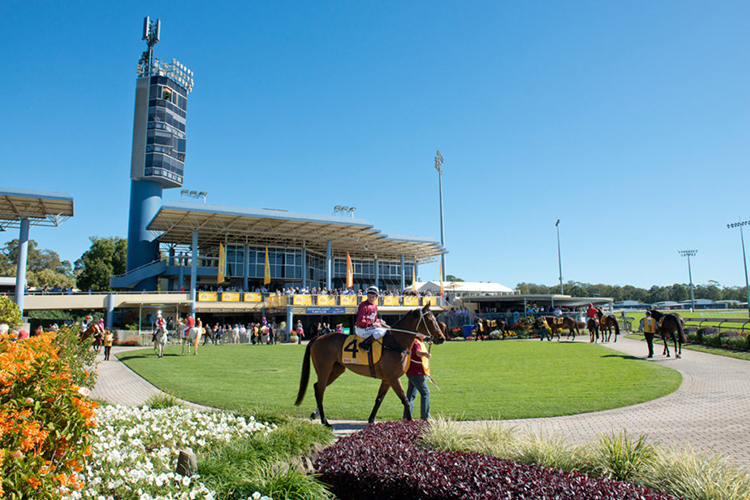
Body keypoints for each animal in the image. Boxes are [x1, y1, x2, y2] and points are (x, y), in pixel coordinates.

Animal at [294, 304, 446, 426]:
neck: (395, 342)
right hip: (324, 369)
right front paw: (410, 422)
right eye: (431, 320)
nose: (442, 338)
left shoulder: (387, 379)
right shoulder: (393, 378)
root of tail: (318, 337)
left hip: (336, 369)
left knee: (318, 387)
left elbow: (379, 399)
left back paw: (316, 415)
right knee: (320, 389)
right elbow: (405, 399)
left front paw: (371, 420)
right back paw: (325, 421)